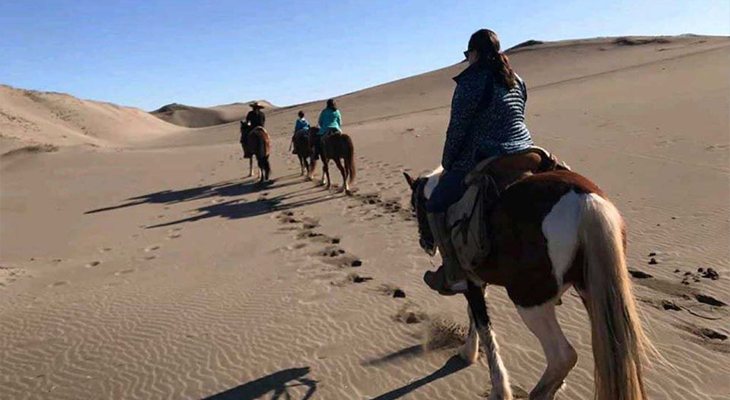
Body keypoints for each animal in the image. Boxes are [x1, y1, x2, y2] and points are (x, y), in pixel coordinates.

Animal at [404, 155, 656, 400]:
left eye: (416, 207)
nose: (425, 243)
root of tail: (585, 202)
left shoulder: (471, 281)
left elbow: (483, 324)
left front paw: (495, 383)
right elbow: (474, 316)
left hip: (530, 301)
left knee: (563, 356)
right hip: (593, 292)